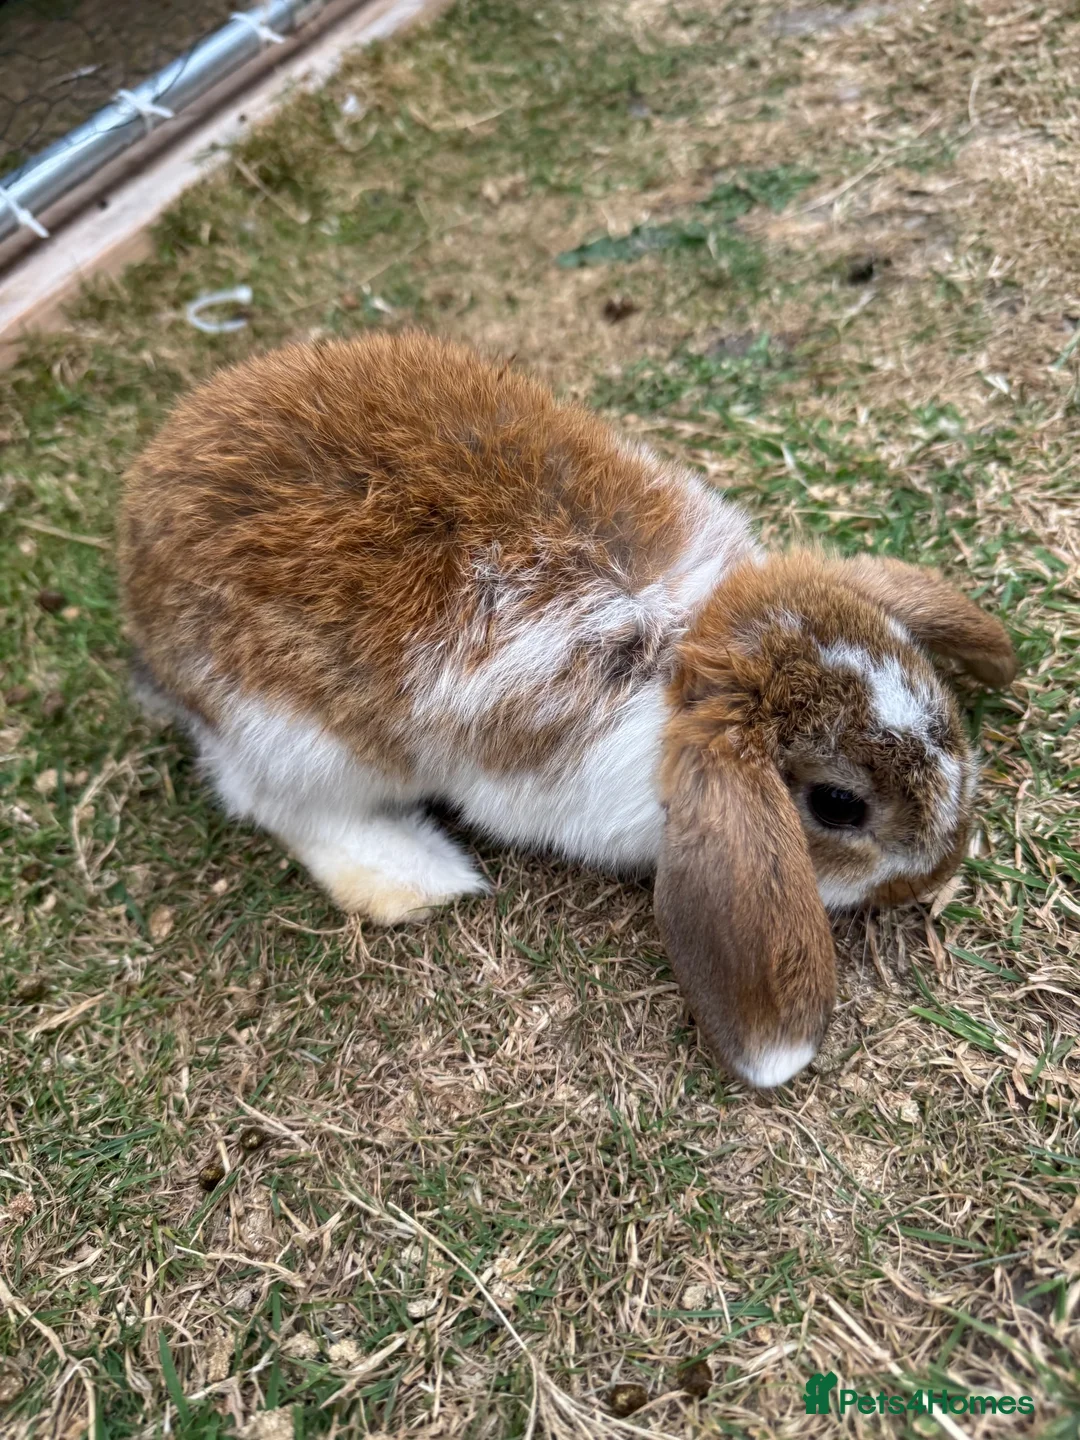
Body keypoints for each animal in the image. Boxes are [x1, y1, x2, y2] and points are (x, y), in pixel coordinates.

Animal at [118, 331, 1017, 1088]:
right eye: (836, 804)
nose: (943, 864)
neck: (691, 654)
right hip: (303, 739)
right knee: (278, 806)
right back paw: (422, 878)